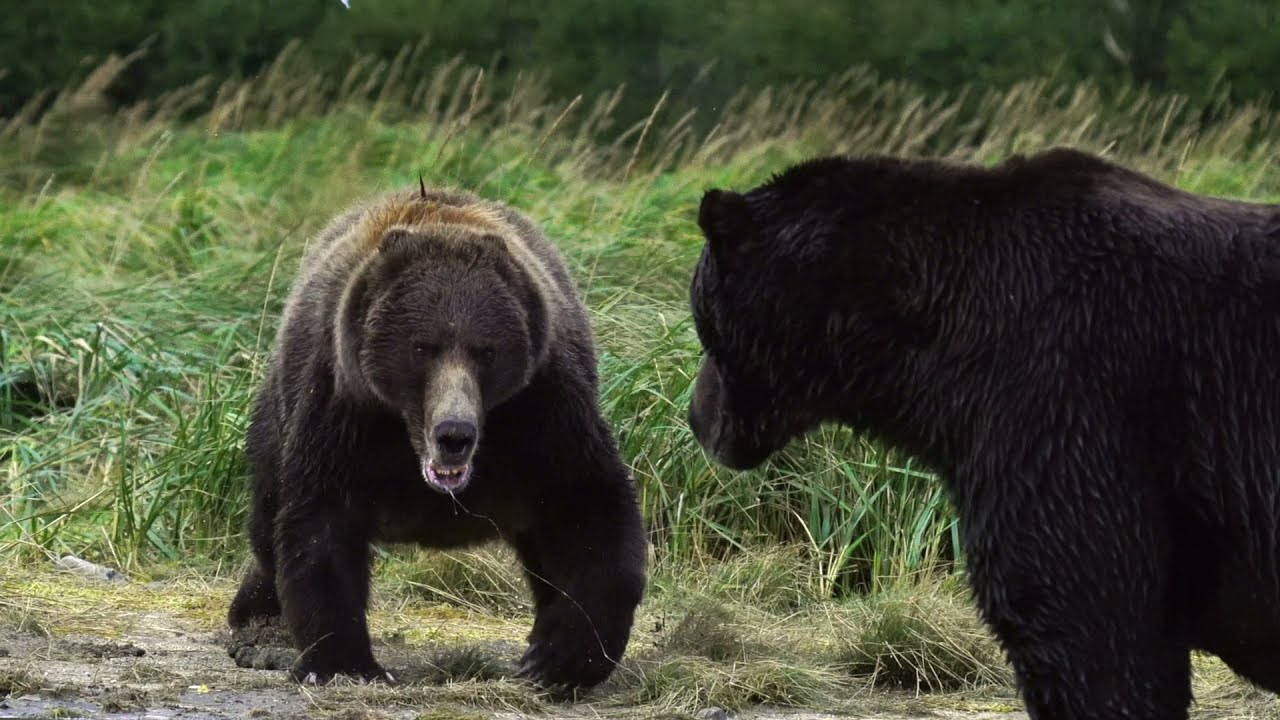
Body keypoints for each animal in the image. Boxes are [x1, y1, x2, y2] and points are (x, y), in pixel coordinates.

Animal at [227, 180, 648, 694]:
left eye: (485, 350)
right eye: (422, 347)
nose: (455, 433)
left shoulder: (544, 412)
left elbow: (588, 508)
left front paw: (554, 657)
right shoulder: (345, 412)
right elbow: (320, 523)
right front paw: (346, 661)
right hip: (278, 412)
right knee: (267, 519)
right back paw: (256, 621)